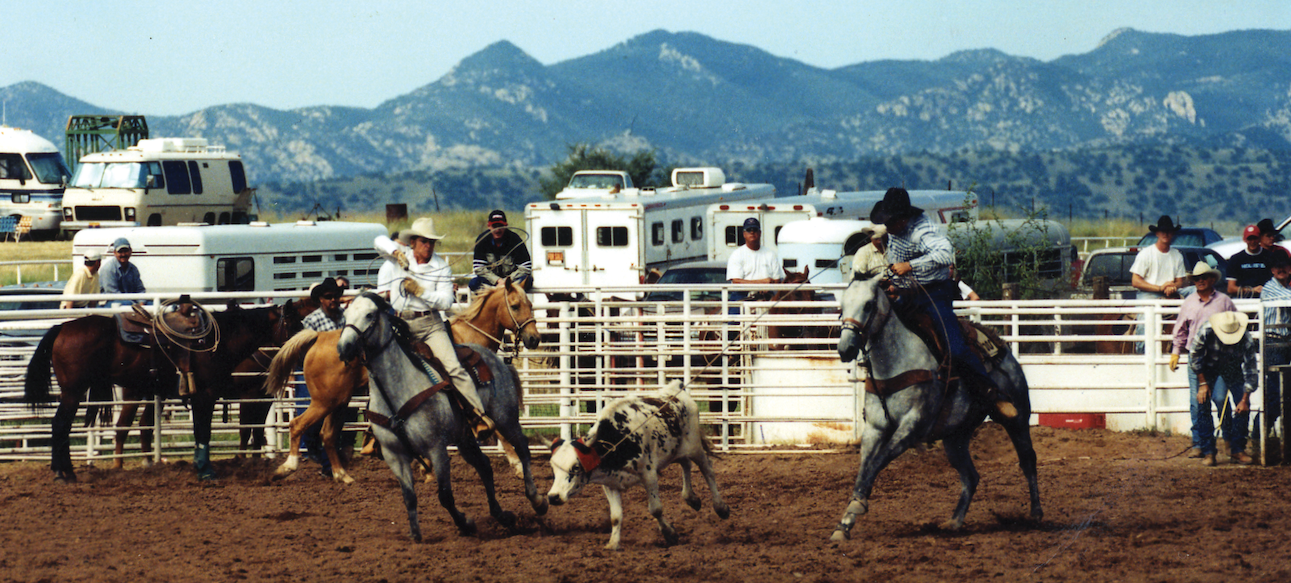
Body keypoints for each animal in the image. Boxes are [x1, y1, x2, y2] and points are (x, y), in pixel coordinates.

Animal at [23, 303, 302, 479]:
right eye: (294, 324)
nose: (306, 343)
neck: (215, 341)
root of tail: (62, 328)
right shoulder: (207, 395)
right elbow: (206, 432)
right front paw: (206, 471)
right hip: (73, 392)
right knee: (60, 426)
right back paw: (64, 473)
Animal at [264, 277, 537, 482]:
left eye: (530, 304)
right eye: (514, 305)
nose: (534, 338)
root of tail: (318, 337)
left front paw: (426, 469)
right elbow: (492, 424)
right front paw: (516, 463)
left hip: (338, 402)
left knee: (328, 435)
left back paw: (343, 476)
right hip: (324, 402)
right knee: (297, 425)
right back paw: (287, 467)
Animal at [335, 291, 547, 541]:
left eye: (369, 314)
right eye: (345, 314)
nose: (344, 347)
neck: (397, 388)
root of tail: (497, 360)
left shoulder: (436, 448)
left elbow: (445, 495)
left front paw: (466, 524)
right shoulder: (394, 455)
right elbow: (409, 496)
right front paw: (416, 536)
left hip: (506, 419)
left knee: (522, 449)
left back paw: (537, 500)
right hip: (466, 437)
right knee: (485, 466)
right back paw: (502, 516)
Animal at [542, 379, 728, 549]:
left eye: (576, 467)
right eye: (553, 470)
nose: (553, 497)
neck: (618, 439)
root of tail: (675, 388)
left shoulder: (649, 474)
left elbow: (655, 509)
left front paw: (670, 534)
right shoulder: (609, 483)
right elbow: (615, 516)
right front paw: (613, 544)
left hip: (695, 447)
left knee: (707, 470)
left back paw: (720, 507)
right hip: (676, 450)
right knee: (686, 465)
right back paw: (691, 498)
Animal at [831, 273, 1043, 541]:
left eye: (868, 304)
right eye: (842, 306)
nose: (845, 348)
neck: (895, 361)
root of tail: (1002, 346)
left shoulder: (911, 427)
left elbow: (879, 461)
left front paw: (857, 507)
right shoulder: (875, 429)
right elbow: (865, 467)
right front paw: (845, 522)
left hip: (1018, 418)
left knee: (1027, 460)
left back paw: (1036, 513)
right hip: (955, 437)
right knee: (971, 477)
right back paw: (954, 522)